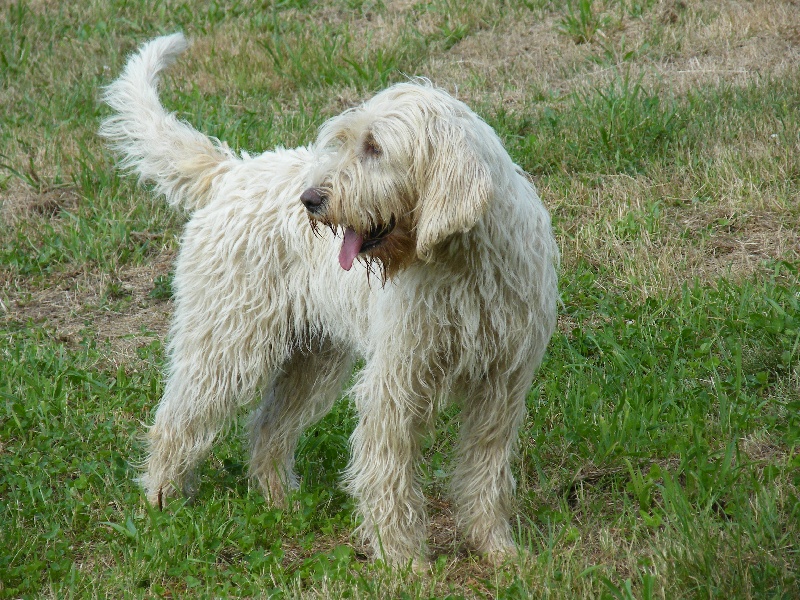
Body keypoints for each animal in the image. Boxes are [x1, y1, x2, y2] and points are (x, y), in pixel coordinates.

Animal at [100, 32, 560, 568]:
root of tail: (233, 170)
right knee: (175, 421)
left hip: (312, 361)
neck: (462, 262)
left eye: (375, 147)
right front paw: (402, 561)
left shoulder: (502, 385)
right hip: (227, 347)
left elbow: (486, 474)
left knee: (266, 430)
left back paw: (281, 502)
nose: (311, 200)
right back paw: (161, 502)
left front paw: (498, 550)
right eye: (344, 141)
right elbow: (388, 474)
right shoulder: (395, 382)